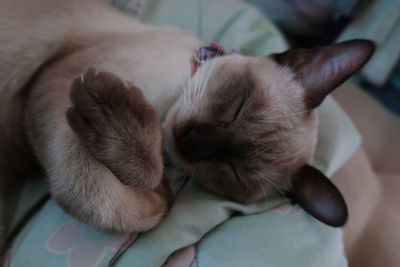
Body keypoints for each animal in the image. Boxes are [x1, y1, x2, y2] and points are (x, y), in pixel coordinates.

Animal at [0, 0, 376, 251]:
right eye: (239, 105)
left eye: (233, 172)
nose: (193, 142)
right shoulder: (58, 80)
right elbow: (101, 195)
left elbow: (131, 206)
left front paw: (161, 191)